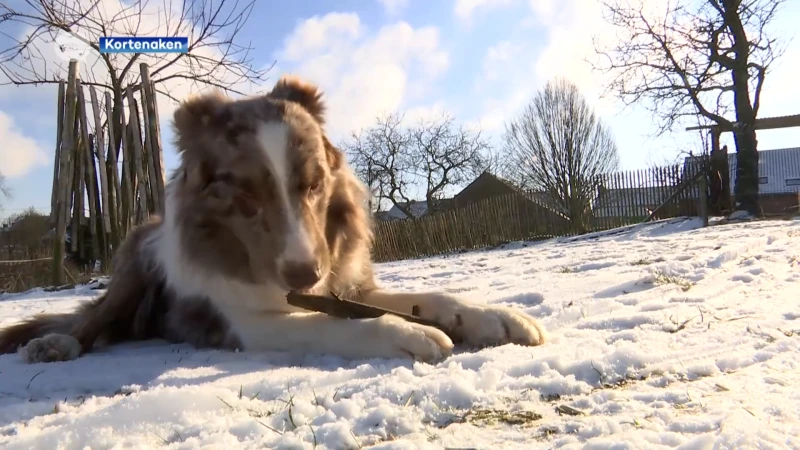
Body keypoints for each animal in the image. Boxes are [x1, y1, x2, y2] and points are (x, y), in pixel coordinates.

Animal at [0, 76, 544, 366]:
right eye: (244, 194)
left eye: (313, 184)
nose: (304, 275)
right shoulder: (249, 322)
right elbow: (327, 324)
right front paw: (406, 334)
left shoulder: (346, 287)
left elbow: (428, 298)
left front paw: (492, 316)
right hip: (135, 263)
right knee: (94, 321)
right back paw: (55, 342)